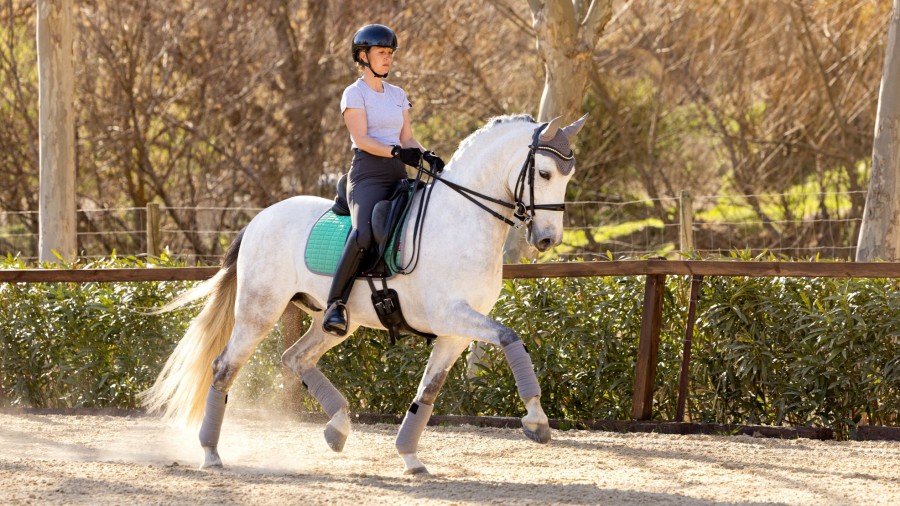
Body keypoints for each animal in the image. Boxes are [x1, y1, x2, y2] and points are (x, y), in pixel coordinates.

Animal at [142, 112, 584, 472]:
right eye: (545, 174)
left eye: (568, 177)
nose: (547, 239)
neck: (461, 219)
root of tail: (259, 219)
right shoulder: (450, 315)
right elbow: (511, 337)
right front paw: (537, 422)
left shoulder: (455, 333)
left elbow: (427, 393)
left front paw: (410, 457)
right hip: (258, 312)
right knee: (224, 368)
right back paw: (211, 453)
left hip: (332, 321)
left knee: (295, 358)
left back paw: (337, 429)